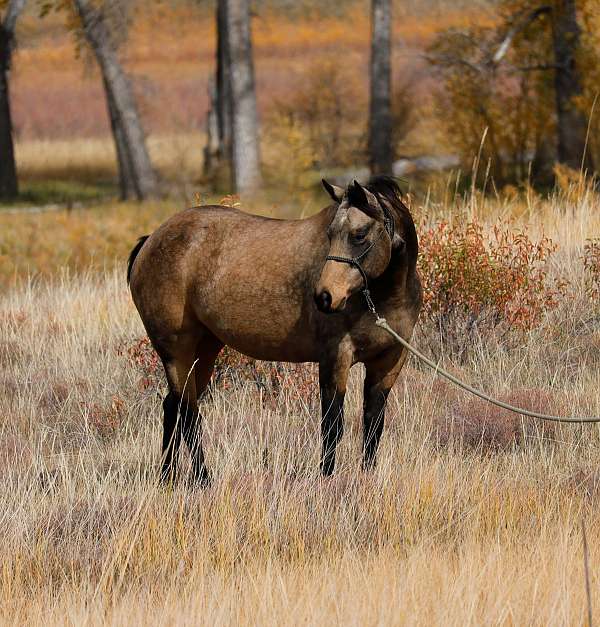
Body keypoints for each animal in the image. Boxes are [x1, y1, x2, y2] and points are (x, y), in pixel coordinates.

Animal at [127, 177, 422, 486]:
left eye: (359, 234)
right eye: (330, 234)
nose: (324, 297)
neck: (384, 298)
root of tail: (150, 240)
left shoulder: (388, 363)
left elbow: (373, 423)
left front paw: (367, 478)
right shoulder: (335, 358)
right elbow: (332, 425)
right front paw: (326, 479)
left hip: (204, 351)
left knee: (173, 407)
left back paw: (167, 477)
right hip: (177, 352)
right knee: (188, 412)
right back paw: (203, 479)